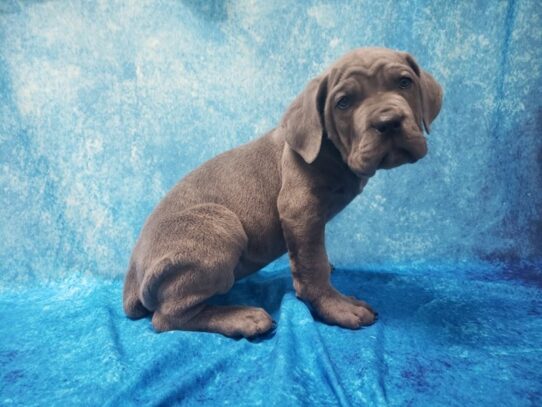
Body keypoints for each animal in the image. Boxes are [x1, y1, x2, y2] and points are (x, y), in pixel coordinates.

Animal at [125, 47, 444, 338]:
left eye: (404, 82)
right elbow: (313, 265)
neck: (333, 152)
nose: (388, 121)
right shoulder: (300, 210)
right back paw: (242, 318)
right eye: (343, 103)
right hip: (220, 224)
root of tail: (132, 276)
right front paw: (337, 308)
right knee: (167, 317)